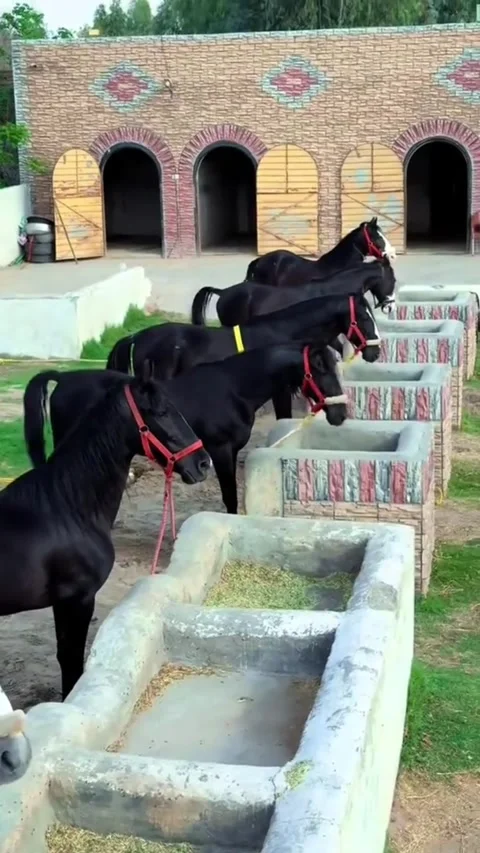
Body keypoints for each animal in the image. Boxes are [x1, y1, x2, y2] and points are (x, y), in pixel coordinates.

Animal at [5, 370, 210, 700]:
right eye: (161, 411)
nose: (204, 463)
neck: (66, 508)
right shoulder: (77, 599)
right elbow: (71, 660)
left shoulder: (66, 602)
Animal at [24, 343, 347, 517]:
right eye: (320, 369)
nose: (341, 414)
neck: (233, 388)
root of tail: (63, 379)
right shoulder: (220, 451)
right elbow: (230, 496)